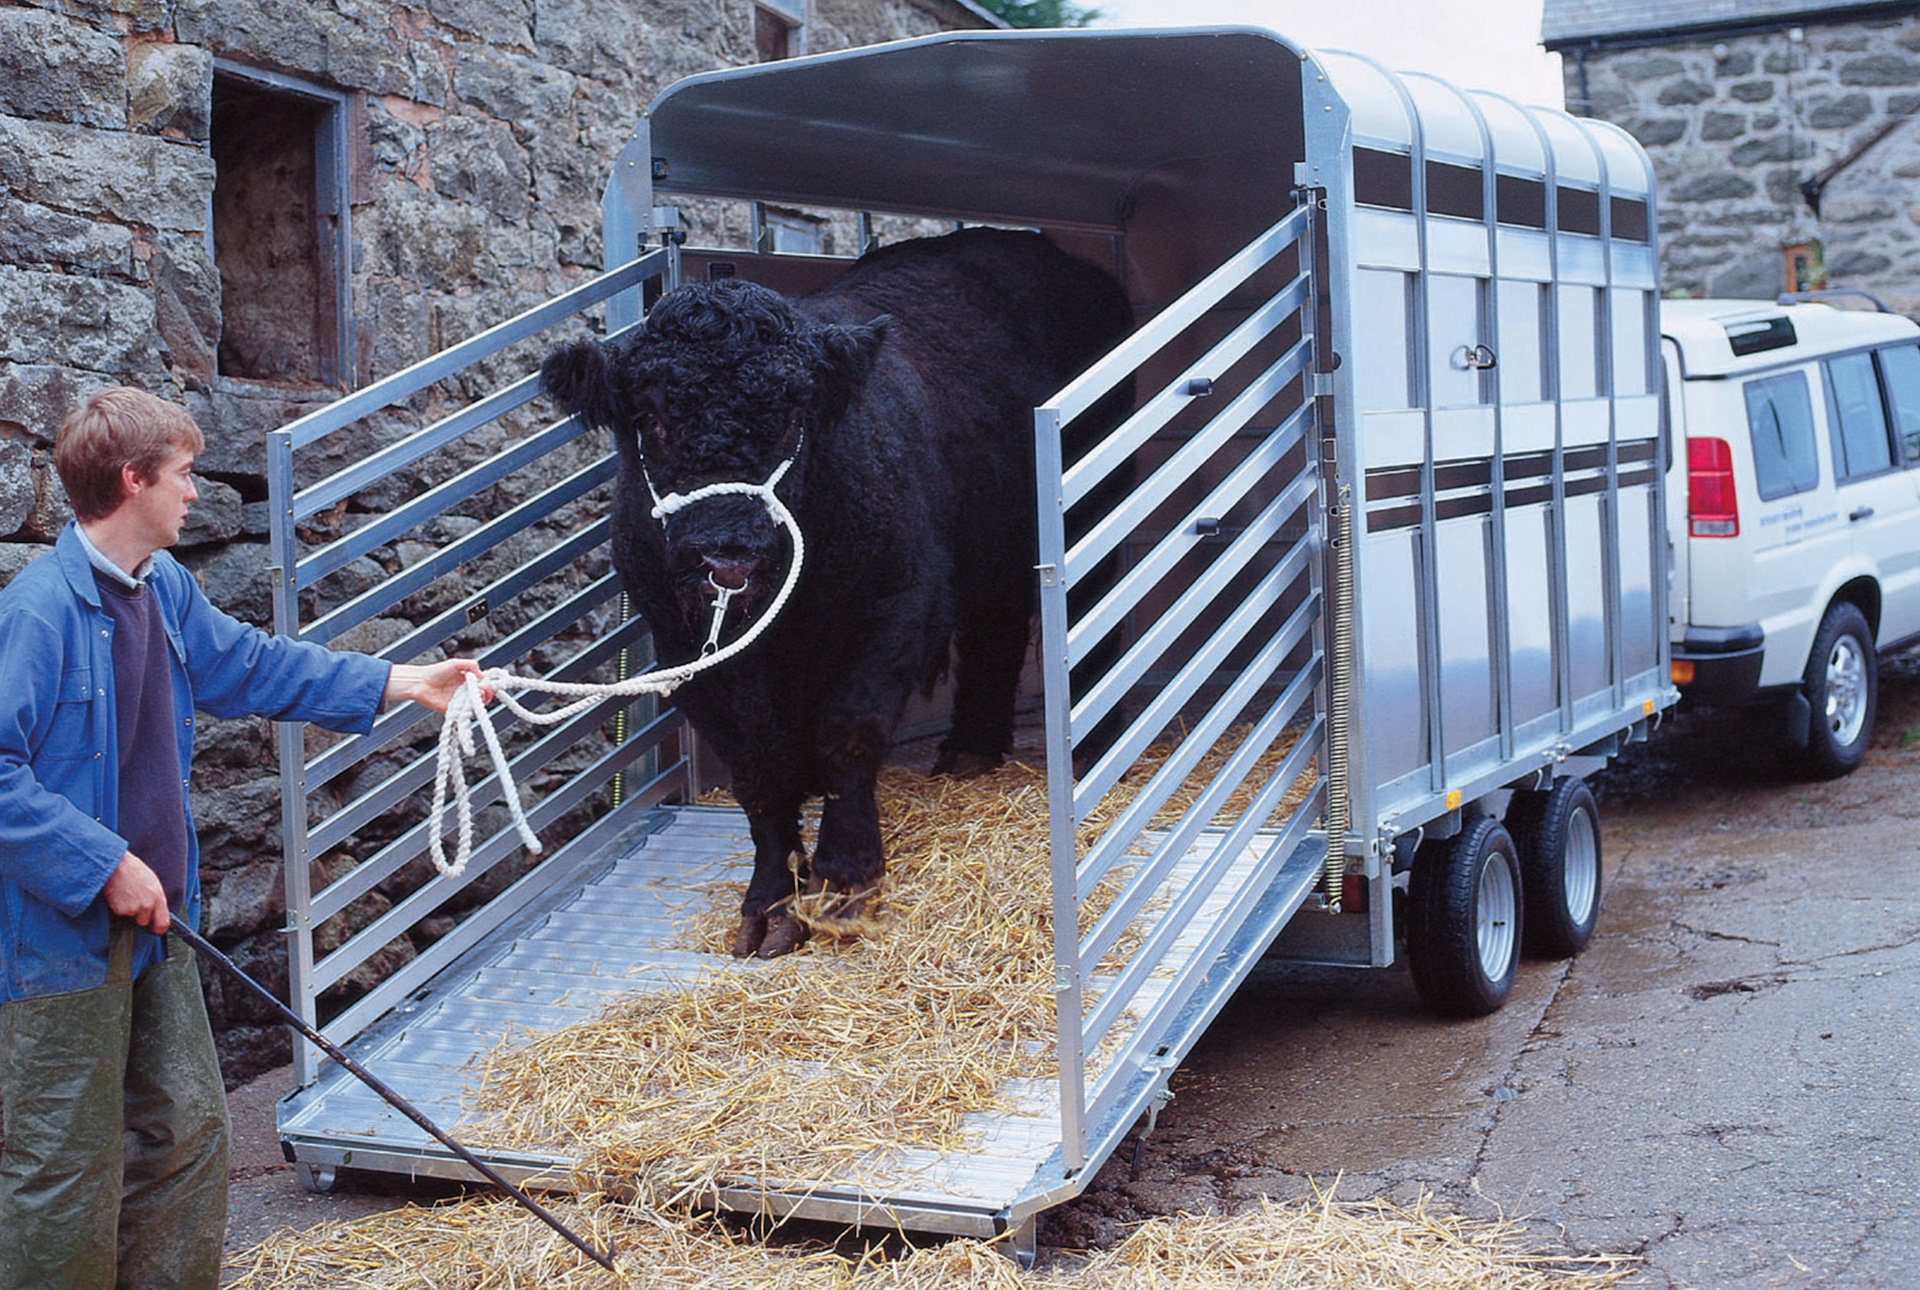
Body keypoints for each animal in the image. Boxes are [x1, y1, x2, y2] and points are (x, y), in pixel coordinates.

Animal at [541, 229, 1128, 955]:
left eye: (792, 413)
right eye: (650, 417)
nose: (728, 554)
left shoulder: (893, 607)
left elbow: (848, 734)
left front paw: (847, 884)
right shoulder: (687, 649)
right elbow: (759, 768)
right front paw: (770, 903)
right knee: (997, 624)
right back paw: (969, 749)